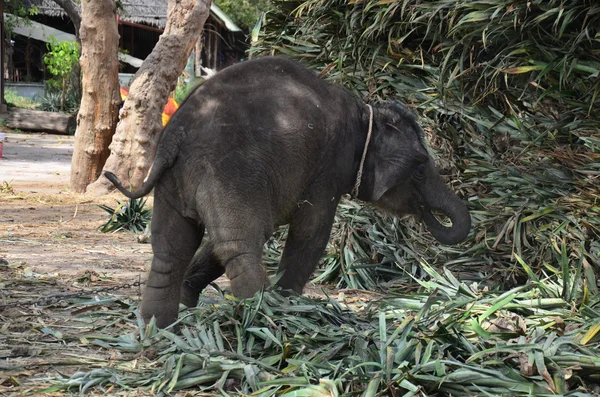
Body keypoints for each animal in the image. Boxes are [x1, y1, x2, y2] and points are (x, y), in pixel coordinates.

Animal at [105, 56, 472, 328]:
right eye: (421, 168)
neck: (364, 112)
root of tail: (176, 132)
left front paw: (187, 298)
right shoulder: (328, 168)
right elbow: (311, 233)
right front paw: (291, 305)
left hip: (174, 178)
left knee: (172, 248)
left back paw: (158, 329)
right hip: (231, 170)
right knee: (238, 244)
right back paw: (262, 319)